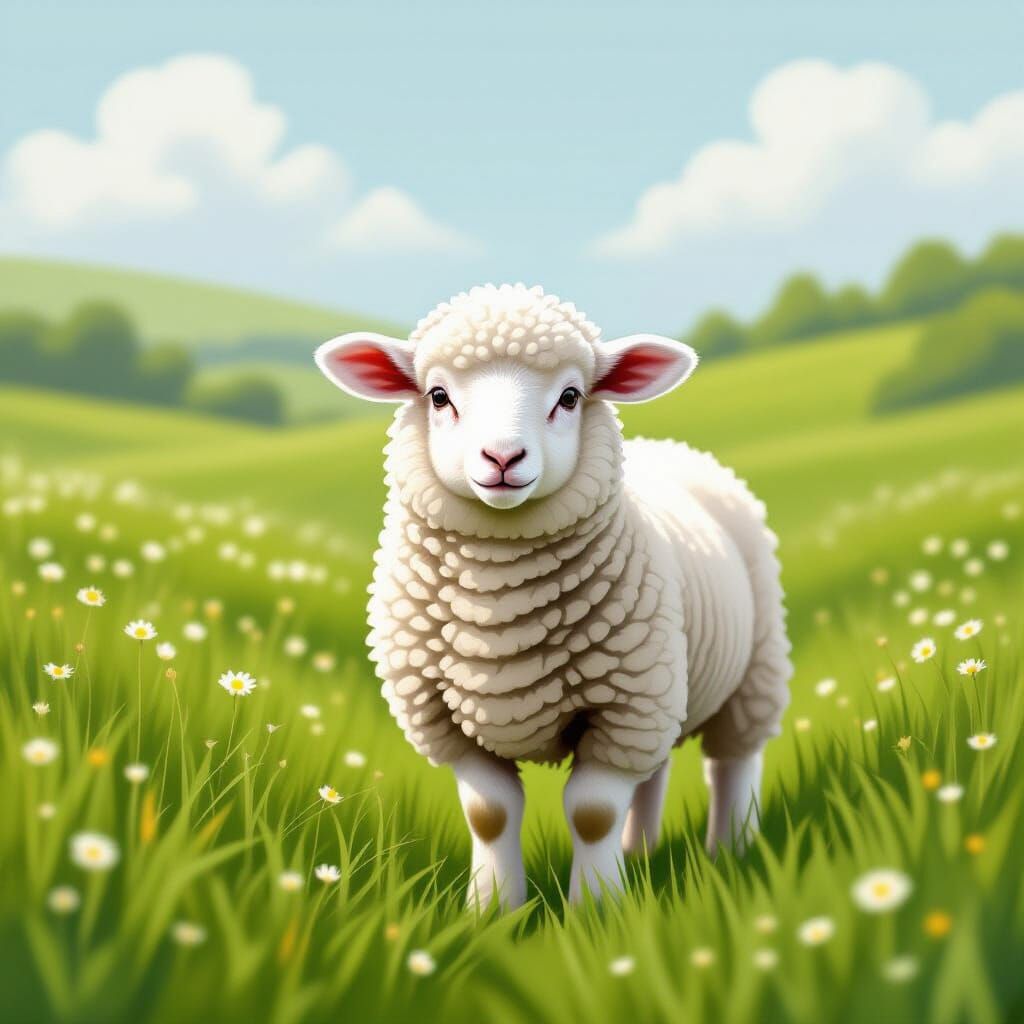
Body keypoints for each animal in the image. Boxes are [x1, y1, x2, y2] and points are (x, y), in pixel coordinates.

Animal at [314, 283, 792, 909]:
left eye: (569, 396)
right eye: (438, 396)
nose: (502, 458)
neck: (497, 607)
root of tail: (671, 446)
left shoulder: (623, 706)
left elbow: (591, 813)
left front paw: (597, 909)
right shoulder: (446, 718)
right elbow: (489, 813)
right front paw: (492, 909)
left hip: (747, 671)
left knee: (732, 763)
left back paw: (730, 851)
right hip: (669, 685)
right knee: (657, 769)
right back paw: (642, 851)